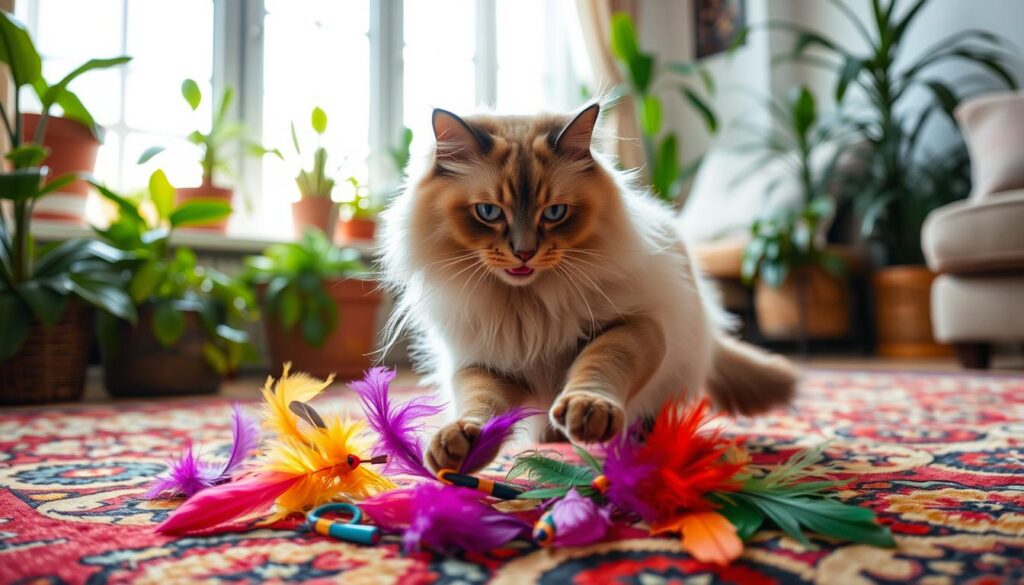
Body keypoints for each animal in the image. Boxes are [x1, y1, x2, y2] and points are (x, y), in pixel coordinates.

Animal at [380, 102, 794, 473]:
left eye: (554, 213)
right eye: (489, 213)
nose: (524, 253)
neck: (528, 306)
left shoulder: (633, 327)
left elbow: (597, 366)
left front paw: (588, 412)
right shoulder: (485, 364)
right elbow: (480, 406)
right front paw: (462, 443)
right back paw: (551, 435)